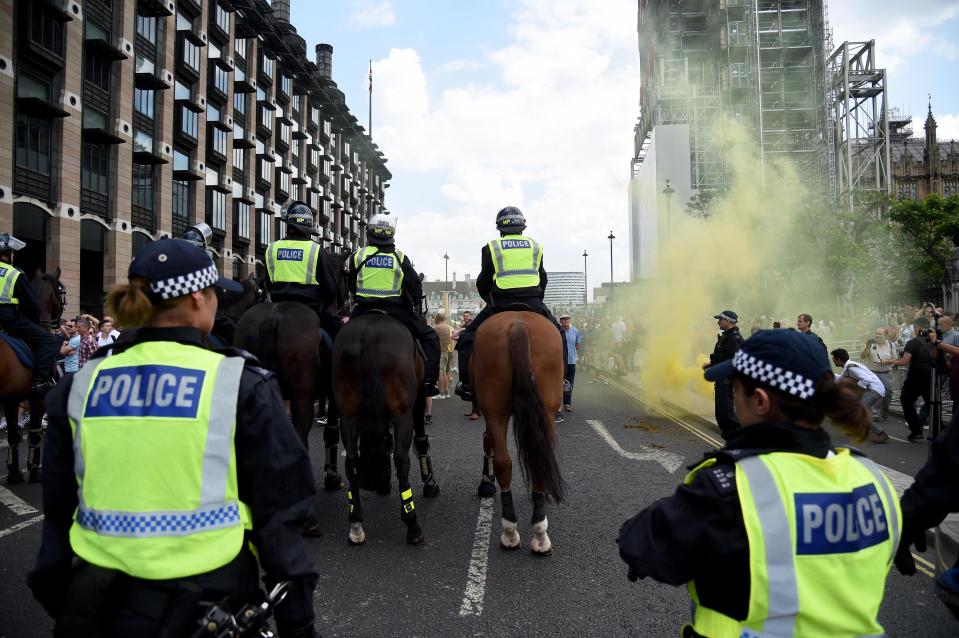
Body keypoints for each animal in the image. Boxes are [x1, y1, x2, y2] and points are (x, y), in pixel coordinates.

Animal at [2, 270, 65, 484]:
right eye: (61, 290)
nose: (59, 322)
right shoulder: (37, 395)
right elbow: (32, 432)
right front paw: (33, 470)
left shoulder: (15, 397)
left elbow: (16, 433)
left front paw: (17, 472)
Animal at [334, 312, 442, 548]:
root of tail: (370, 332)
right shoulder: (418, 402)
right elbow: (421, 441)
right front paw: (430, 483)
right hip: (402, 413)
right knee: (401, 459)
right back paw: (412, 524)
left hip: (347, 414)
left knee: (351, 460)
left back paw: (355, 523)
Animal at [474, 310, 568, 556]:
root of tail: (518, 325)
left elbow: (487, 441)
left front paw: (486, 482)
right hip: (540, 410)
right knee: (524, 462)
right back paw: (533, 532)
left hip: (496, 411)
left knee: (505, 461)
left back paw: (514, 531)